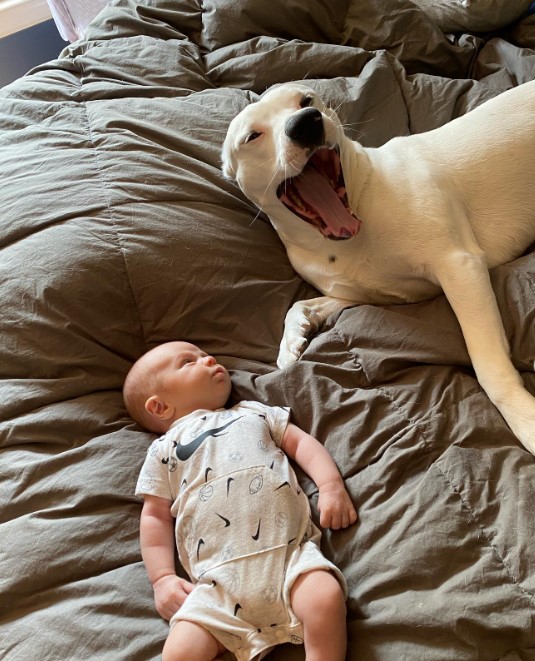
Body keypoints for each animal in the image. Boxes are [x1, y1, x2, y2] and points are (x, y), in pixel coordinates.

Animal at [223, 82, 535, 454]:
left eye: (306, 100)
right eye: (252, 136)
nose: (306, 123)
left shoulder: (460, 267)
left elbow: (489, 366)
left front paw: (524, 418)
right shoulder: (363, 294)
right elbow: (301, 304)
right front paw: (291, 341)